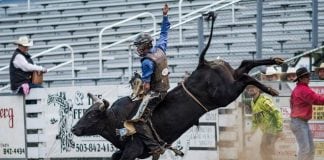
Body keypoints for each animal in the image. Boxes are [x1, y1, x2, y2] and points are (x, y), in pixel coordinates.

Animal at [71, 12, 284, 160]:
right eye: (84, 112)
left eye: (91, 115)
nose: (74, 129)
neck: (115, 120)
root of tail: (203, 64)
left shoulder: (133, 149)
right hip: (230, 77)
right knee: (246, 64)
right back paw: (275, 61)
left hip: (226, 93)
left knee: (246, 78)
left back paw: (270, 89)